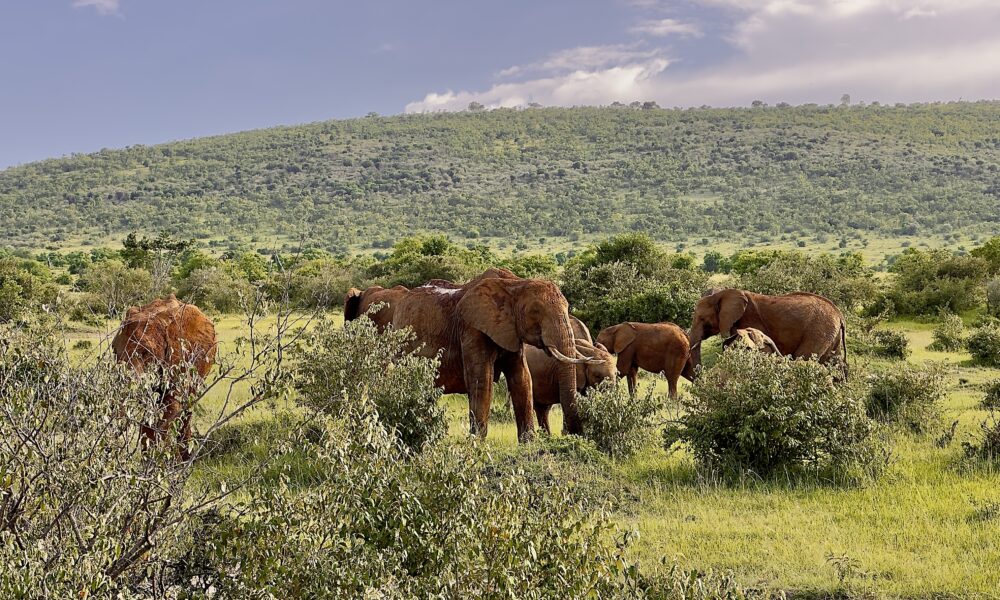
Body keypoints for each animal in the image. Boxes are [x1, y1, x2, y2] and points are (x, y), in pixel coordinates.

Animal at [392, 268, 600, 440]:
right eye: (536, 312)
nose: (572, 434)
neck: (515, 284)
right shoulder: (472, 329)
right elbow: (481, 379)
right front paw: (477, 444)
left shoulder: (511, 331)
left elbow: (522, 378)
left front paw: (529, 443)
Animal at [692, 290, 848, 376]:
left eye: (702, 319)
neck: (721, 294)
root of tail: (840, 315)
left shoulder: (749, 320)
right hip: (831, 333)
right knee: (835, 363)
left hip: (819, 330)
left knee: (804, 357)